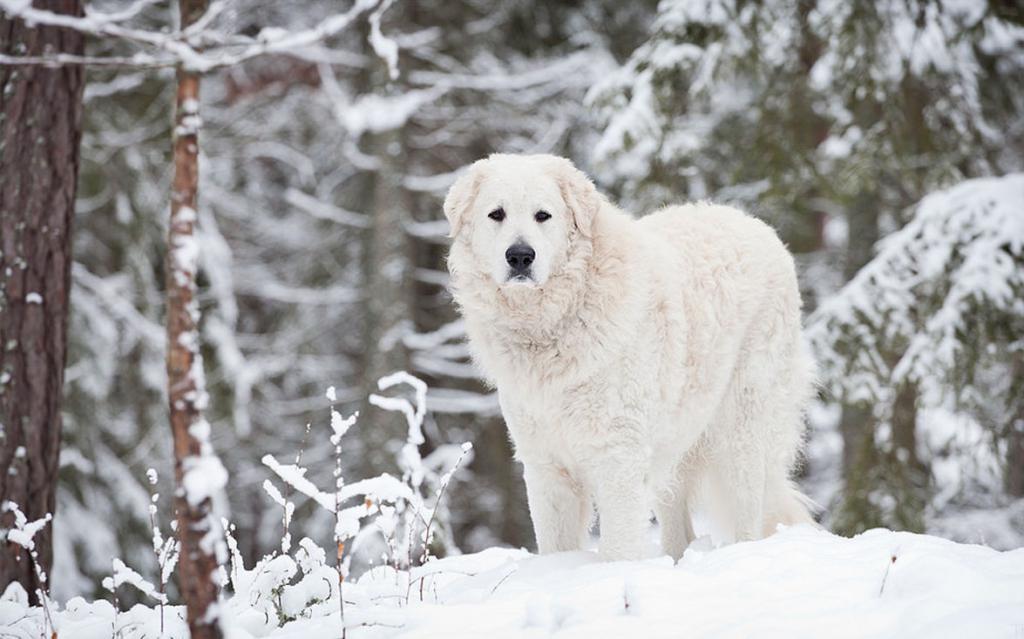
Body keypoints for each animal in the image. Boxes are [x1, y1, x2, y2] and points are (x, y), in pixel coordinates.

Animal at [446, 154, 815, 557]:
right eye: (496, 214)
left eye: (543, 215)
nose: (520, 256)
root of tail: (758, 226)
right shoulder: (547, 467)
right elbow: (556, 547)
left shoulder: (619, 459)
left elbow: (618, 547)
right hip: (675, 444)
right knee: (680, 531)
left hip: (740, 432)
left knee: (749, 516)